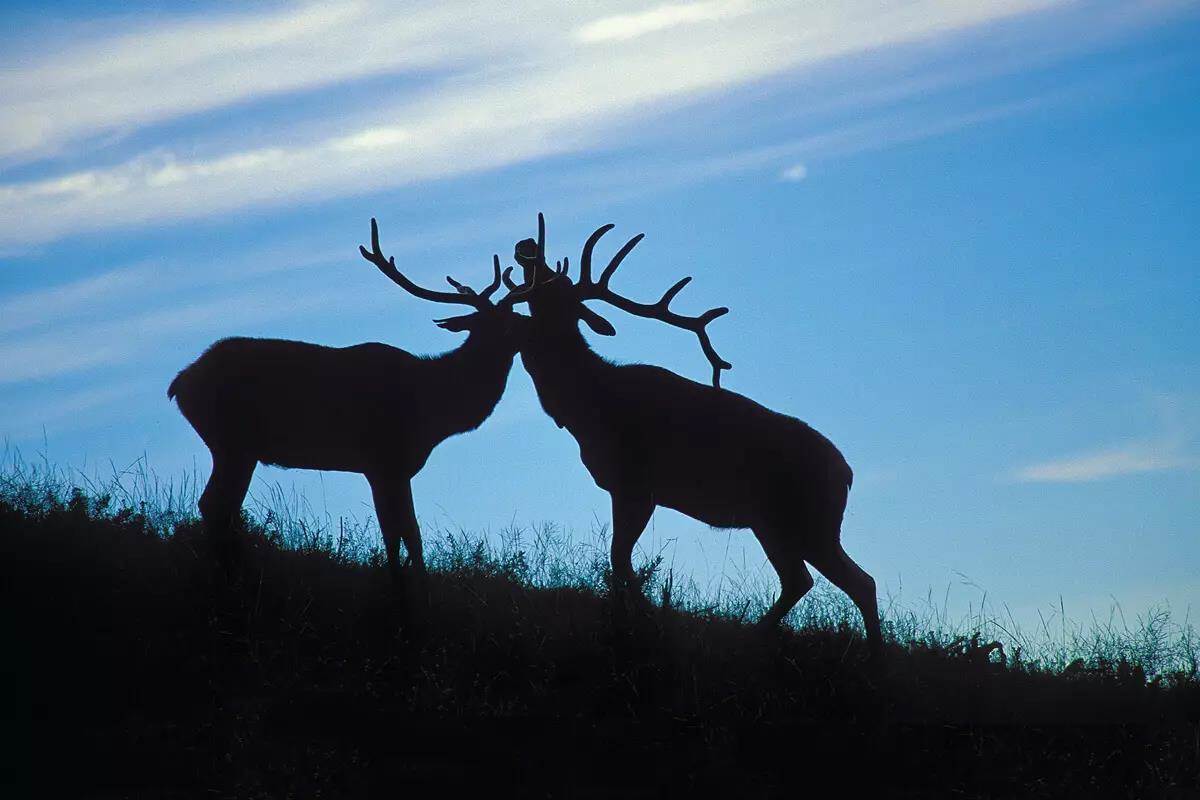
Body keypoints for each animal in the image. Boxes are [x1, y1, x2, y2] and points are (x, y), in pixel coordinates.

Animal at [168, 218, 529, 597]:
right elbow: (404, 533)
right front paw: (410, 593)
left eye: (515, 315)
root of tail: (181, 382)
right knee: (215, 505)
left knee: (221, 508)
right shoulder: (384, 461)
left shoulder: (389, 468)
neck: (432, 411)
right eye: (507, 324)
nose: (535, 325)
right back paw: (229, 578)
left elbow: (401, 534)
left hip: (237, 448)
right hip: (232, 442)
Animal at [508, 214, 883, 660]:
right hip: (771, 523)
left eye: (555, 282)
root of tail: (847, 473)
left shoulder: (637, 484)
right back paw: (755, 637)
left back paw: (876, 656)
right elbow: (619, 561)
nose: (526, 245)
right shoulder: (627, 488)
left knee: (859, 581)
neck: (588, 407)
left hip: (809, 518)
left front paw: (641, 619)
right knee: (802, 579)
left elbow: (620, 560)